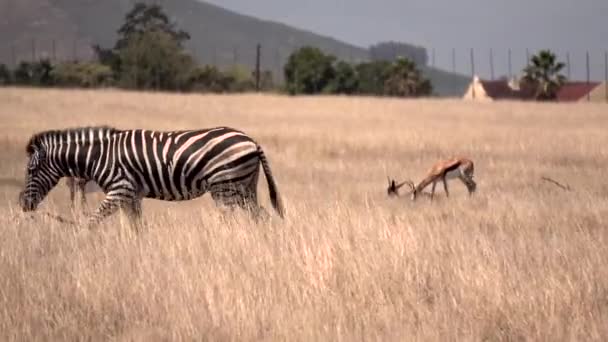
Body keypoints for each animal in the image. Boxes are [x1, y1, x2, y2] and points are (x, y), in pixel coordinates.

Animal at [19, 125, 284, 227]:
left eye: (31, 171)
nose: (23, 204)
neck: (97, 156)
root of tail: (251, 141)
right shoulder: (132, 196)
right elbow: (137, 227)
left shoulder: (120, 190)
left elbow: (92, 221)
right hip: (246, 187)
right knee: (261, 217)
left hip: (225, 187)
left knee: (230, 221)